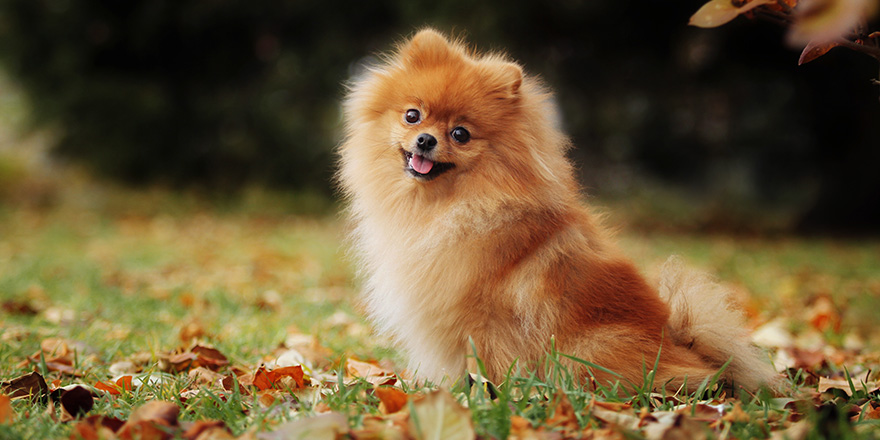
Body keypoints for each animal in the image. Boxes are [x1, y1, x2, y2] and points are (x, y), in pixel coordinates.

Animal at [336, 29, 776, 390]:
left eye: (460, 134)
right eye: (413, 115)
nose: (426, 140)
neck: (448, 206)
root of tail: (684, 345)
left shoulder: (482, 317)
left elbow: (486, 363)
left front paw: (482, 398)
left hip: (589, 348)